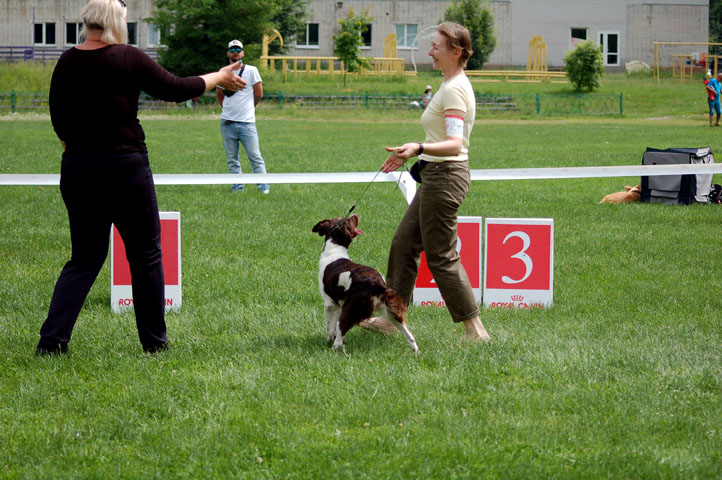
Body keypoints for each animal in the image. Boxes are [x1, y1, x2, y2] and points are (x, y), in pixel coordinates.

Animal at [310, 215, 416, 352]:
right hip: (389, 309)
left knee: (341, 326)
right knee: (407, 332)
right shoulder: (338, 304)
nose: (355, 215)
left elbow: (330, 327)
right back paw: (415, 350)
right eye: (346, 219)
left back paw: (334, 348)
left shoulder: (330, 303)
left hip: (351, 307)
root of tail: (378, 284)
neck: (334, 250)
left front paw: (330, 340)